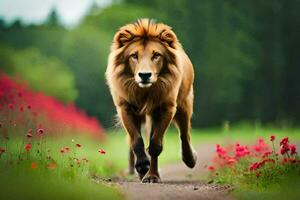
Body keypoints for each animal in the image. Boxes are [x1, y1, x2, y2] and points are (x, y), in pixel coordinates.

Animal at [105, 18, 197, 183]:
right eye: (134, 55)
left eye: (156, 55)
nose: (144, 75)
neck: (145, 92)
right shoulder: (125, 108)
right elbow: (136, 140)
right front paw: (142, 166)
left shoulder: (166, 108)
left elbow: (155, 145)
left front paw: (152, 175)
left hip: (184, 104)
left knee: (184, 134)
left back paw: (189, 160)